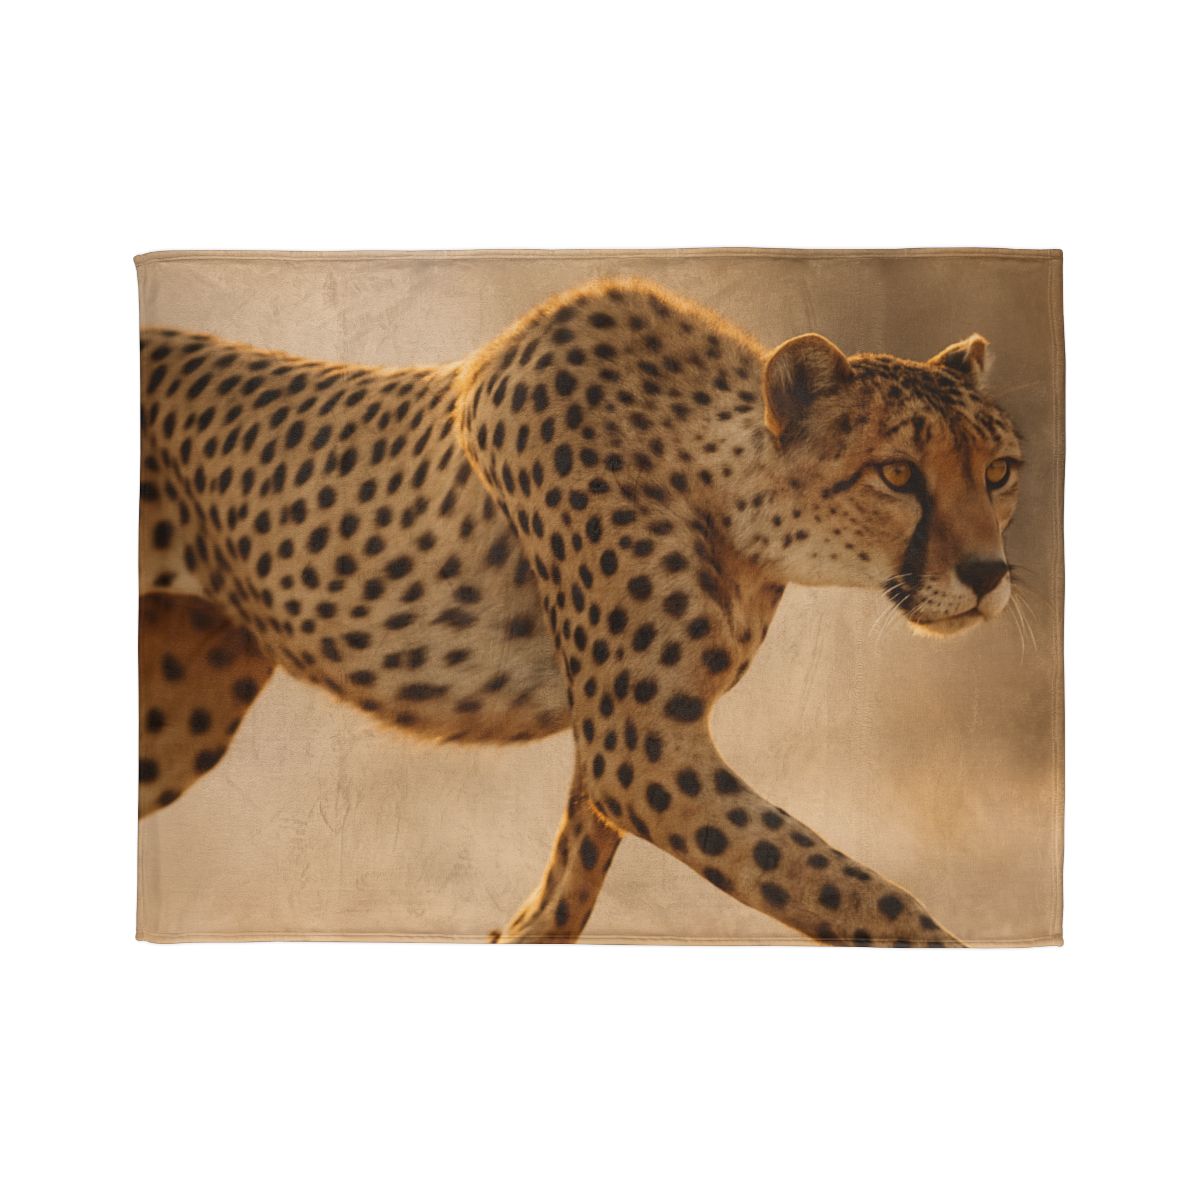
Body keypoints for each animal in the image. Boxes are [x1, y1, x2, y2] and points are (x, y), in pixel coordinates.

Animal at [138, 277, 1022, 946]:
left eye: (1000, 470)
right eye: (898, 473)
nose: (988, 574)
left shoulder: (621, 742)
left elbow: (569, 879)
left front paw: (518, 933)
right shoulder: (640, 751)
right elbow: (851, 889)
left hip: (183, 709)